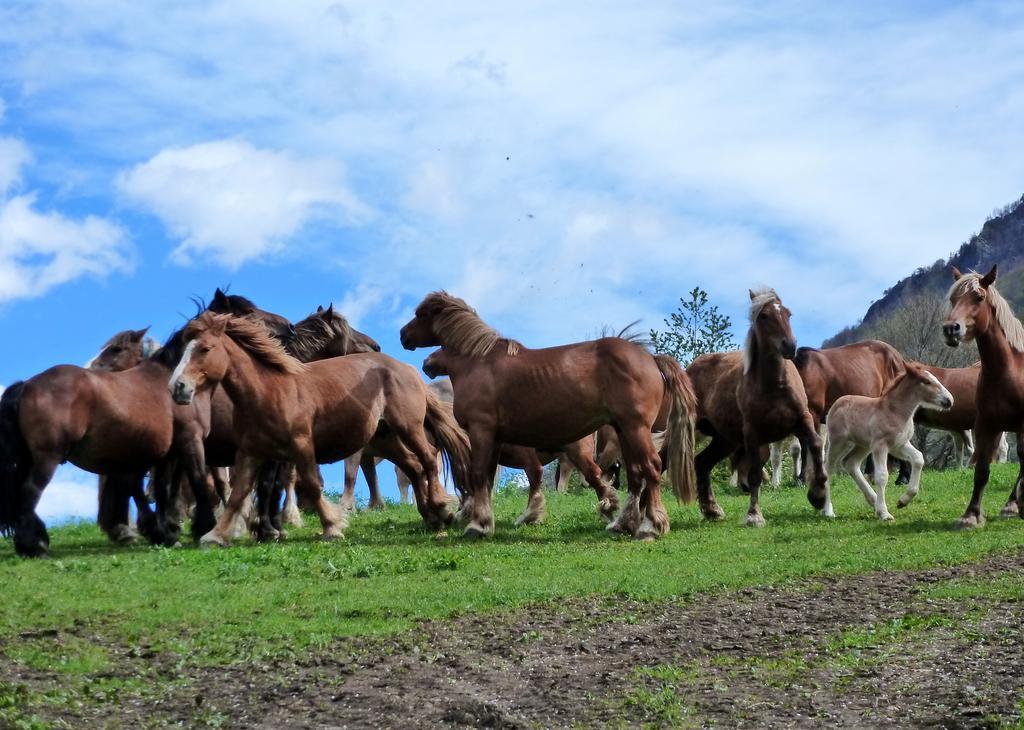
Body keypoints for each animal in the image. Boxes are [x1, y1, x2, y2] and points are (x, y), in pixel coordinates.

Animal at [171, 311, 468, 544]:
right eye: (185, 349)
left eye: (205, 349)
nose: (178, 387)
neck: (270, 391)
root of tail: (407, 369)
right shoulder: (250, 453)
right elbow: (239, 492)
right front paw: (216, 535)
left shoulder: (301, 447)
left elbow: (312, 486)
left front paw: (331, 526)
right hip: (386, 437)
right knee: (414, 467)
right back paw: (431, 517)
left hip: (408, 427)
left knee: (428, 459)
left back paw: (441, 509)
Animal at [397, 286, 696, 536]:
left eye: (420, 314)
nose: (403, 335)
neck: (478, 362)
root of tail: (650, 358)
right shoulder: (494, 438)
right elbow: (486, 480)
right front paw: (484, 521)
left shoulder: (481, 431)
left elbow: (479, 475)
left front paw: (477, 526)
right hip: (624, 430)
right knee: (635, 474)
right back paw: (623, 524)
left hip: (635, 428)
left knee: (651, 468)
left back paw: (651, 526)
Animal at [684, 286, 827, 528]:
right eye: (764, 316)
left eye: (788, 314)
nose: (789, 346)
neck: (775, 386)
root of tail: (690, 368)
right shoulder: (752, 434)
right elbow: (754, 475)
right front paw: (754, 515)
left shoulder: (803, 421)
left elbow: (816, 444)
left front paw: (818, 495)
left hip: (725, 439)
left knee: (701, 463)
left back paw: (712, 509)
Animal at [819, 362, 954, 520]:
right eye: (926, 381)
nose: (949, 400)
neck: (895, 412)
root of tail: (836, 404)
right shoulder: (881, 445)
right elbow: (882, 476)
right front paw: (884, 513)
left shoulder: (899, 445)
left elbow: (918, 459)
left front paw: (903, 501)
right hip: (839, 442)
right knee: (828, 469)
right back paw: (828, 510)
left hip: (863, 445)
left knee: (850, 463)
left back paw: (873, 500)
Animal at [937, 264, 1024, 528]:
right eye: (953, 299)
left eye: (978, 297)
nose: (951, 329)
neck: (1007, 373)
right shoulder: (986, 425)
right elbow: (982, 469)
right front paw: (971, 515)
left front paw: (1015, 504)